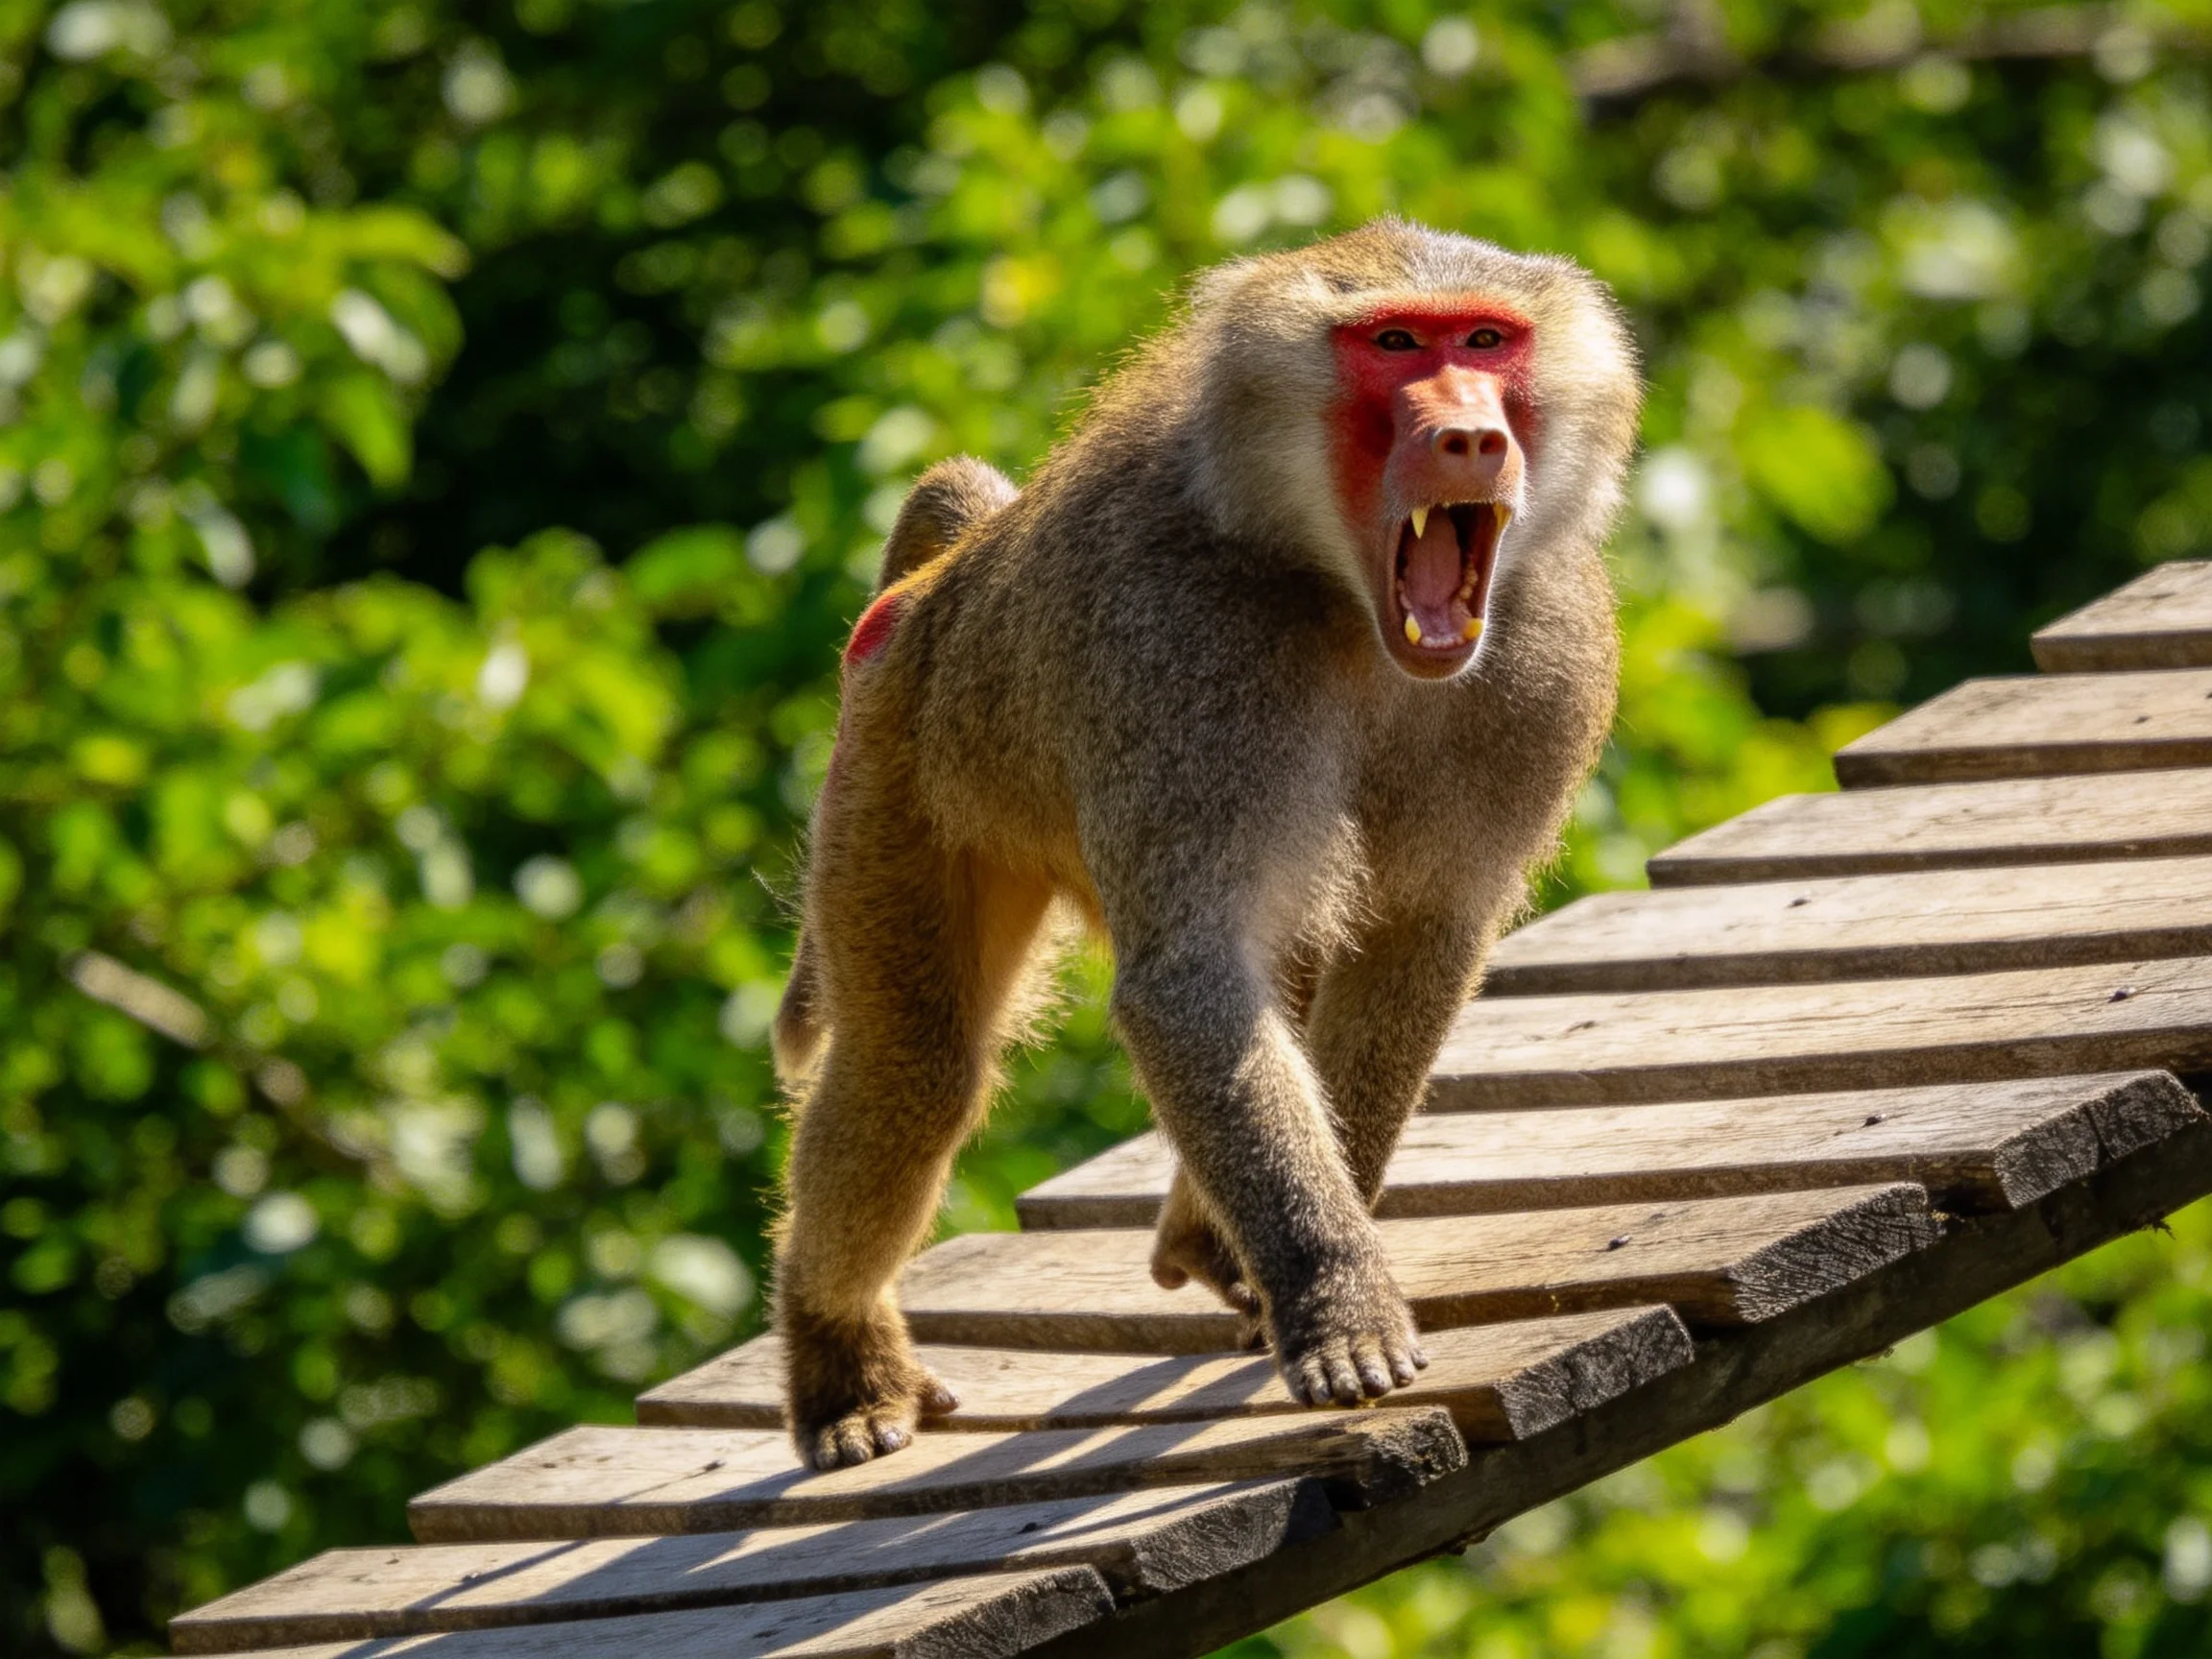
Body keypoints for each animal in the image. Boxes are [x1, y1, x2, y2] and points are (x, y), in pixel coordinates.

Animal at [769, 219, 1642, 1471]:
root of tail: (948, 575)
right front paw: (1336, 1298)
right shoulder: (1179, 647)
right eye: (1393, 344)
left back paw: (1199, 1235)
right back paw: (836, 1353)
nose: (1472, 432)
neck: (1341, 598)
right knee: (916, 1070)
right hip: (899, 759)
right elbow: (1187, 981)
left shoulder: (1543, 659)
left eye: (1485, 340)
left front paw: (1275, 1261)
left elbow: (1419, 937)